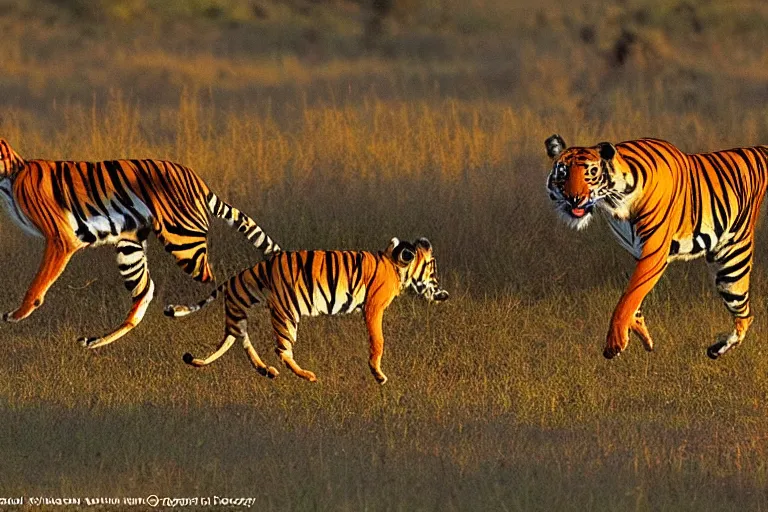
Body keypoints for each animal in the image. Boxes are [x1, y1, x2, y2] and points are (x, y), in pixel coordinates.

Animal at [0, 138, 280, 350]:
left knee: (214, 278)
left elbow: (38, 282)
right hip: (129, 248)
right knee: (145, 292)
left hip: (184, 243)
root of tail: (198, 181)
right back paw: (95, 341)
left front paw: (16, 314)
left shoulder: (60, 238)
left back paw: (182, 311)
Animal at [164, 238, 450, 382]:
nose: (443, 290)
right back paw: (306, 375)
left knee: (237, 340)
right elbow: (378, 341)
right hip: (286, 313)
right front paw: (378, 374)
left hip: (240, 312)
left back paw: (264, 370)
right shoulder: (373, 307)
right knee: (280, 350)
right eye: (432, 265)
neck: (396, 264)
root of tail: (245, 272)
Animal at [544, 134, 768, 362]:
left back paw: (717, 349)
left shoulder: (654, 252)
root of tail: (755, 150)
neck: (614, 202)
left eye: (591, 172)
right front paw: (641, 333)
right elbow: (633, 296)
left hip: (732, 265)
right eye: (562, 173)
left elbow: (629, 296)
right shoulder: (637, 252)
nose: (574, 199)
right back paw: (716, 349)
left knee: (745, 315)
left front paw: (615, 343)